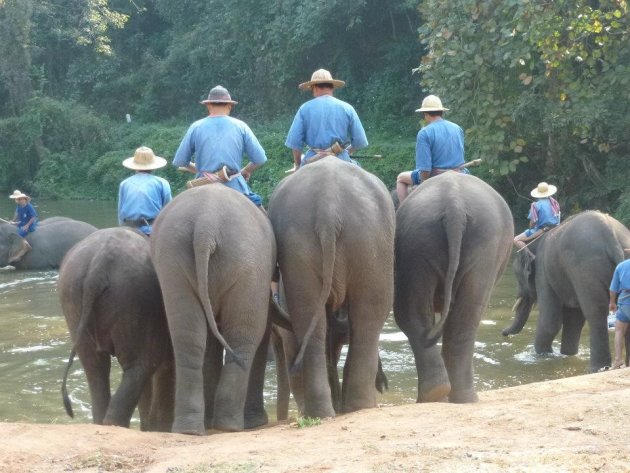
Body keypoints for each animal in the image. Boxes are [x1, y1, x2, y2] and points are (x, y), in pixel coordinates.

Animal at [152, 183, 280, 432]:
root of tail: (205, 224)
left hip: (173, 263)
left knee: (188, 337)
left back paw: (193, 428)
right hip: (246, 266)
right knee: (245, 336)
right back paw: (230, 425)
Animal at [270, 157, 398, 418]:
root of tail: (328, 210)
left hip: (353, 240)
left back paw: (338, 409)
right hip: (365, 242)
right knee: (366, 315)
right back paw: (346, 408)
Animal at [506, 208, 630, 370]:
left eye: (517, 275)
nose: (504, 334)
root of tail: (612, 237)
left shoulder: (543, 273)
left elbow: (550, 321)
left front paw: (541, 356)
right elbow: (573, 319)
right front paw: (567, 355)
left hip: (585, 270)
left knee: (595, 314)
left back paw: (595, 369)